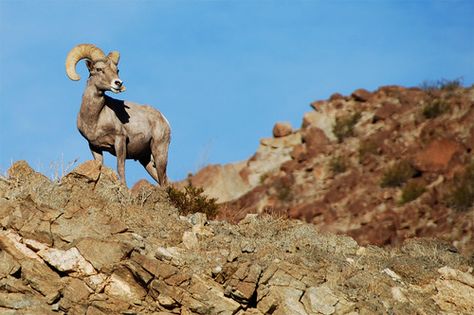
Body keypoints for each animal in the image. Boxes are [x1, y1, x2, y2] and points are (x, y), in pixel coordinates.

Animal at [65, 43, 170, 186]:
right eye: (98, 69)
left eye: (117, 70)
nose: (118, 83)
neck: (95, 119)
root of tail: (164, 119)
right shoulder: (94, 146)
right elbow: (100, 167)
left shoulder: (120, 141)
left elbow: (120, 168)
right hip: (146, 159)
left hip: (159, 152)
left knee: (164, 180)